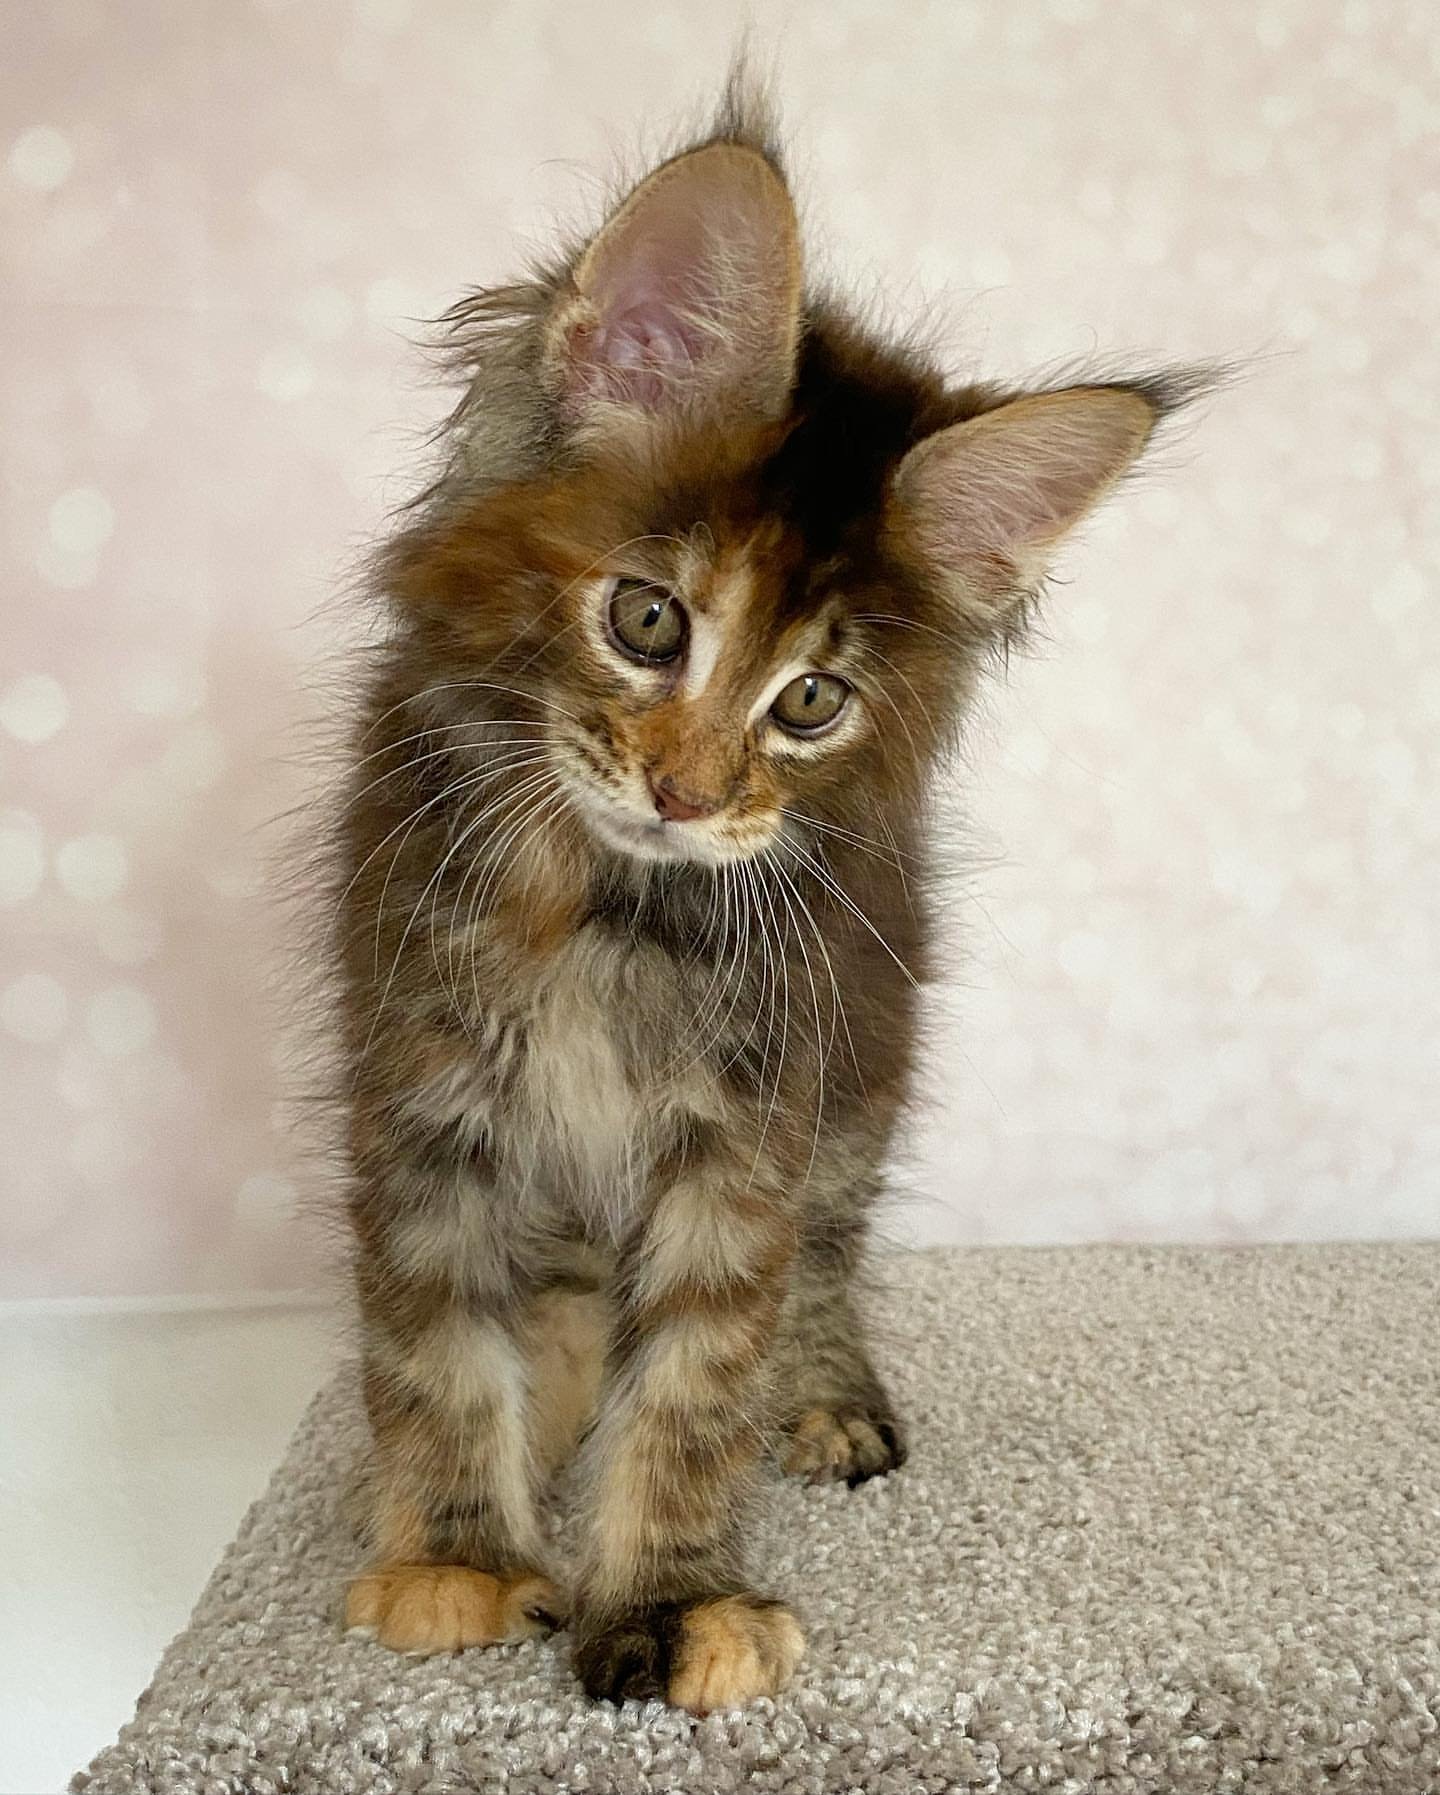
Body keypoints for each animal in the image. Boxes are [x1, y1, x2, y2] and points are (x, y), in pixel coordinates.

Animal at [333, 83, 1198, 1712]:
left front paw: (672, 1596)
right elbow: (440, 1335)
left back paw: (824, 1392)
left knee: (827, 1253)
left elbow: (698, 1367)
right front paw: (460, 1555)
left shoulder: (750, 1121)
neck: (610, 911)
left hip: (863, 1064)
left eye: (809, 702)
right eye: (647, 618)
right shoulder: (421, 1079)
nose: (686, 791)